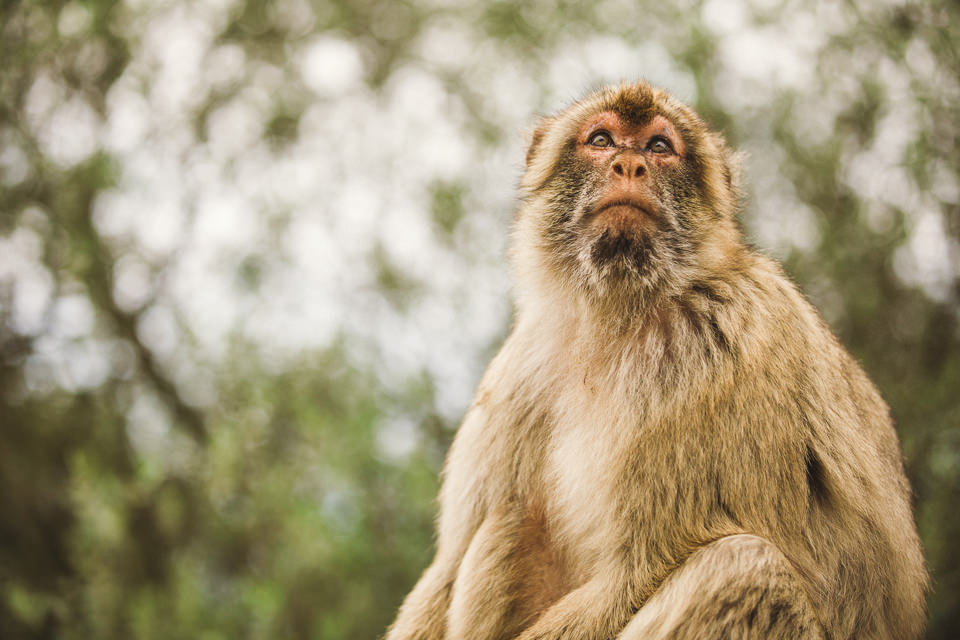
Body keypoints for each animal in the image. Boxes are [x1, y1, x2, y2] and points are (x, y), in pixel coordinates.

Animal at [384, 81, 928, 640]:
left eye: (660, 147)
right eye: (601, 139)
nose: (630, 164)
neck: (616, 313)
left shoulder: (711, 356)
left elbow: (641, 570)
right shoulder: (522, 368)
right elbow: (448, 567)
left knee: (744, 567)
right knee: (511, 517)